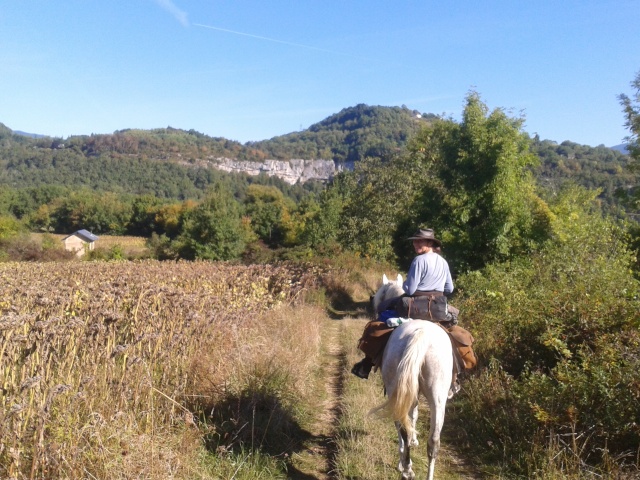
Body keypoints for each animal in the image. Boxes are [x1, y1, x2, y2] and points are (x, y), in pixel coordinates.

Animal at [368, 274, 452, 480]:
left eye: (381, 294)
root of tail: (421, 335)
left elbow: (407, 420)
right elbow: (414, 413)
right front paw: (415, 440)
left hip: (395, 389)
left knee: (401, 425)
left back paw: (406, 468)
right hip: (438, 397)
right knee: (434, 441)